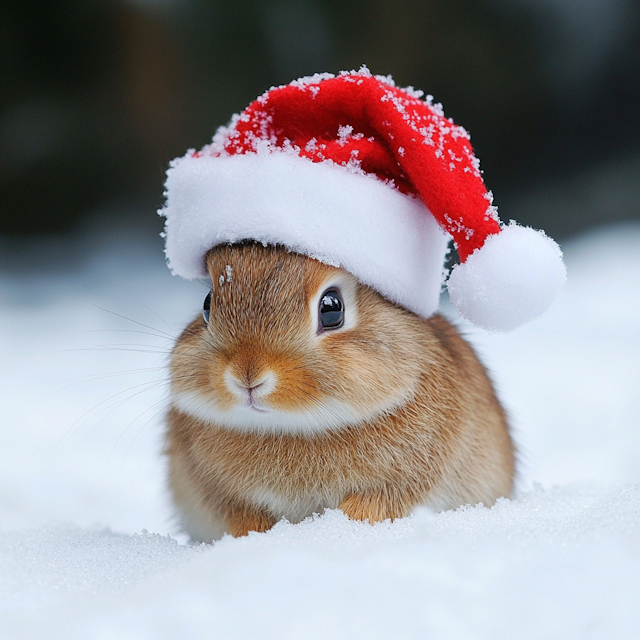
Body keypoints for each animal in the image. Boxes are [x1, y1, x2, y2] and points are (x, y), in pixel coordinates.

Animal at [166, 240, 516, 540]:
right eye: (207, 305)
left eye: (332, 308)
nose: (247, 374)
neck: (293, 428)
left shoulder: (402, 481)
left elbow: (373, 506)